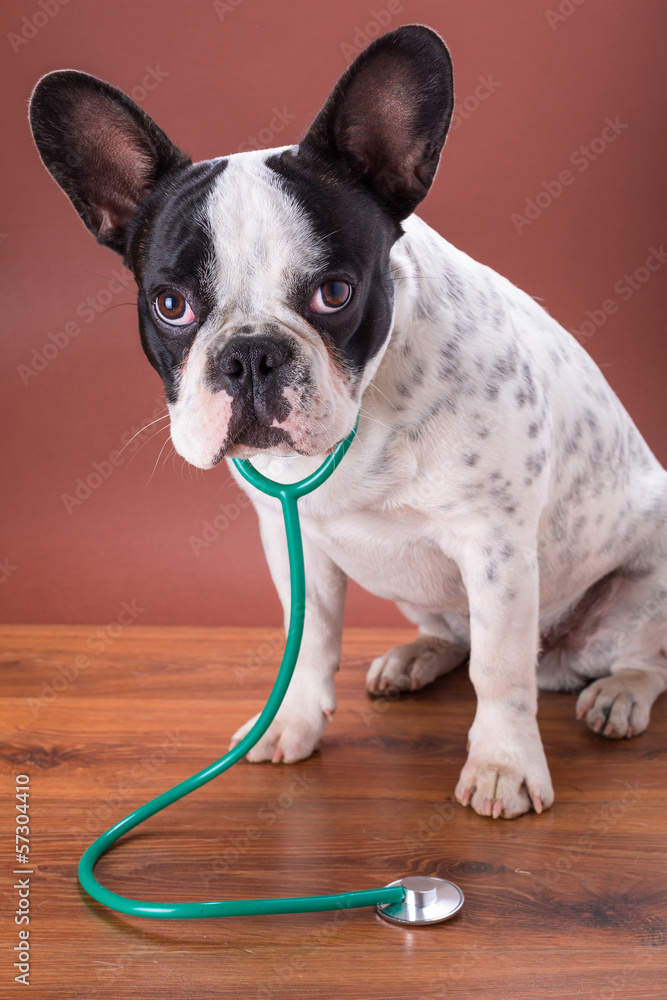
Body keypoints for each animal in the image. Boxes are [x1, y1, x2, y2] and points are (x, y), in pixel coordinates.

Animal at [31, 27, 667, 816]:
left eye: (334, 293)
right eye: (170, 305)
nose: (250, 355)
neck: (363, 416)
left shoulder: (494, 549)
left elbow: (499, 669)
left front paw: (503, 765)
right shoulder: (290, 535)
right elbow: (308, 641)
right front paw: (292, 723)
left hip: (641, 580)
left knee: (639, 657)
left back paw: (618, 695)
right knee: (454, 633)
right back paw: (417, 656)